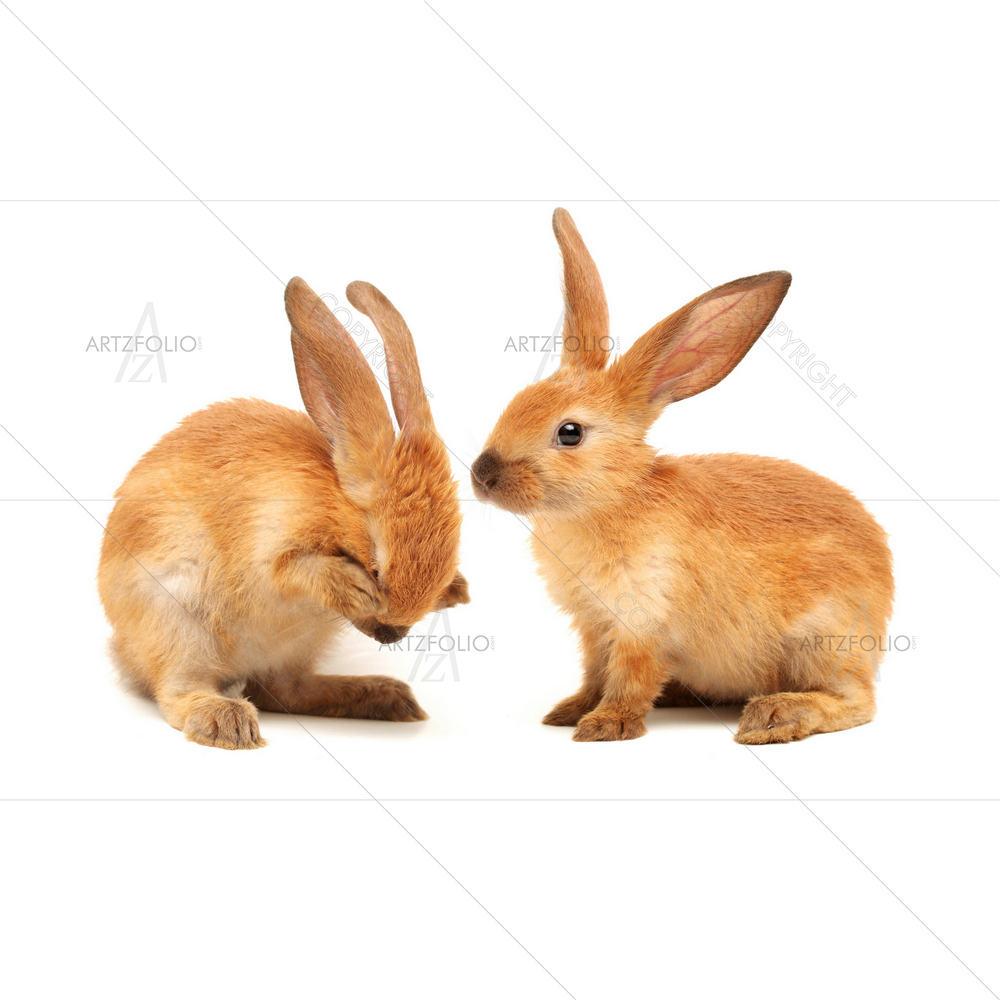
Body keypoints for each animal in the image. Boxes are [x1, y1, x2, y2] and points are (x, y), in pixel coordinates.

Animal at [98, 277, 469, 749]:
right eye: (376, 566)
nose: (394, 633)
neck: (334, 506)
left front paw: (457, 591)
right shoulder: (270, 544)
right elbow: (294, 569)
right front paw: (357, 589)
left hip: (296, 647)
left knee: (281, 690)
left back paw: (386, 697)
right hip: (178, 624)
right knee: (180, 692)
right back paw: (226, 721)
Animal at [471, 208, 893, 744]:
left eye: (570, 433)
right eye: (516, 401)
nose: (481, 476)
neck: (614, 498)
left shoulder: (644, 621)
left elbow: (629, 677)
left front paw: (605, 726)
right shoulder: (594, 626)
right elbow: (594, 672)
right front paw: (569, 711)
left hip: (820, 641)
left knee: (858, 703)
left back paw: (775, 716)